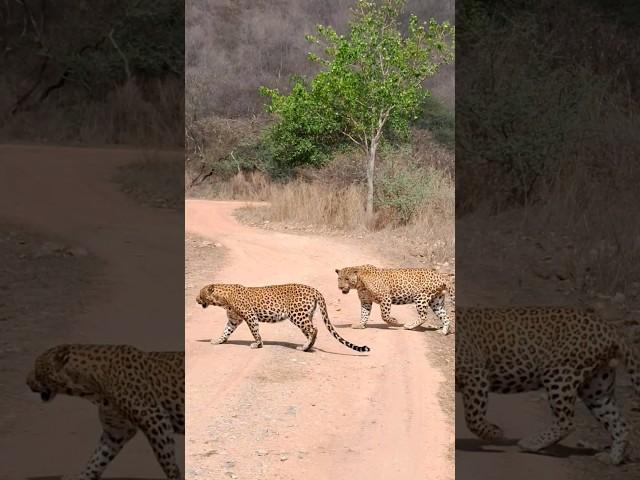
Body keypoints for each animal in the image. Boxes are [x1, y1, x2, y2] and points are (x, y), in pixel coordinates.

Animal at [26, 344, 184, 478]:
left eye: (37, 369)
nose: (26, 381)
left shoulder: (154, 417)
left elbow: (166, 457)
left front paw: (175, 474)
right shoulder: (116, 430)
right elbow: (98, 458)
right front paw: (84, 476)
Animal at [195, 282, 370, 352]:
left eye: (200, 294)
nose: (196, 299)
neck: (222, 299)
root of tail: (314, 290)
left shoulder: (250, 316)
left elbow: (255, 331)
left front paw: (257, 344)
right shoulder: (233, 319)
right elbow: (226, 331)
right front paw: (218, 340)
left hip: (298, 315)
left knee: (314, 329)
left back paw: (305, 347)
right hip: (305, 315)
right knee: (311, 331)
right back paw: (308, 346)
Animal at [456, 308, 640, 464]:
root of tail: (609, 327)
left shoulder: (475, 373)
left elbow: (472, 418)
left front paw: (496, 433)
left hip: (558, 373)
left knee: (567, 423)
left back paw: (530, 443)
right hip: (596, 388)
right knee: (619, 424)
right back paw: (612, 459)